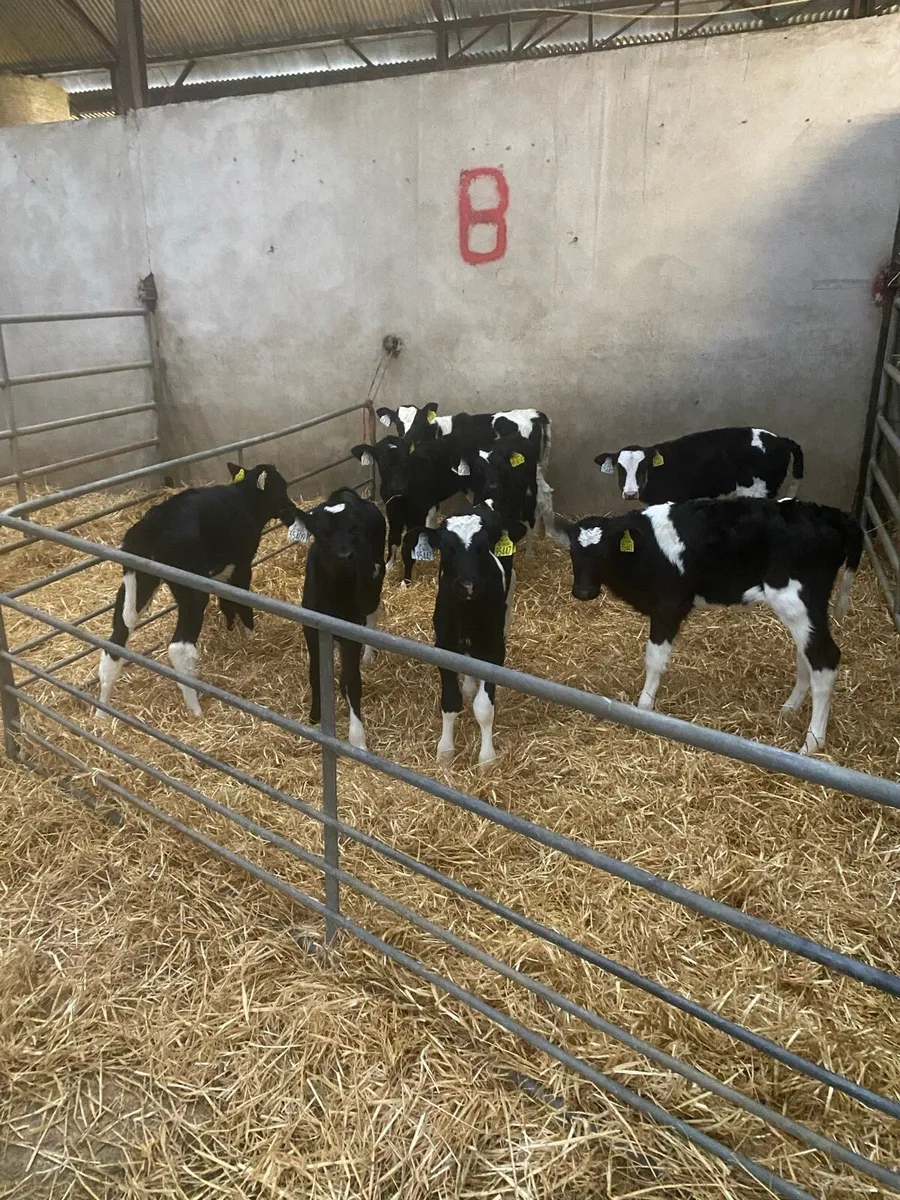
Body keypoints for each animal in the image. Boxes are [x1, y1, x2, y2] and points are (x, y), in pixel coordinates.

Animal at [98, 463, 299, 716]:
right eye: (282, 487)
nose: (293, 512)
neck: (245, 499)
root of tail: (149, 527)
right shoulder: (242, 564)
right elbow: (243, 603)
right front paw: (251, 637)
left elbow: (226, 601)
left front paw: (231, 629)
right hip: (190, 588)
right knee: (179, 648)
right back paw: (195, 710)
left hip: (139, 581)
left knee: (115, 639)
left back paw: (102, 711)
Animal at [288, 488, 386, 751]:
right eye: (321, 533)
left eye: (353, 530)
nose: (345, 555)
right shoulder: (311, 628)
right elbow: (316, 673)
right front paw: (315, 716)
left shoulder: (350, 634)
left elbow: (351, 683)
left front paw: (357, 739)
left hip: (374, 585)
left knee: (372, 616)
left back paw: (369, 655)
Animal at [407, 503, 524, 765]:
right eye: (447, 546)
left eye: (484, 545)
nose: (468, 585)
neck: (467, 611)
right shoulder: (444, 645)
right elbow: (451, 701)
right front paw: (445, 751)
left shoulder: (494, 649)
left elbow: (484, 708)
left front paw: (487, 758)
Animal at [552, 496, 861, 755]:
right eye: (572, 552)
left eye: (604, 553)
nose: (583, 591)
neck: (644, 550)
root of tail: (827, 513)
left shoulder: (669, 606)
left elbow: (654, 659)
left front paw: (644, 708)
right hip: (805, 611)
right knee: (806, 655)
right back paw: (790, 708)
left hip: (795, 601)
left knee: (825, 659)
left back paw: (812, 743)